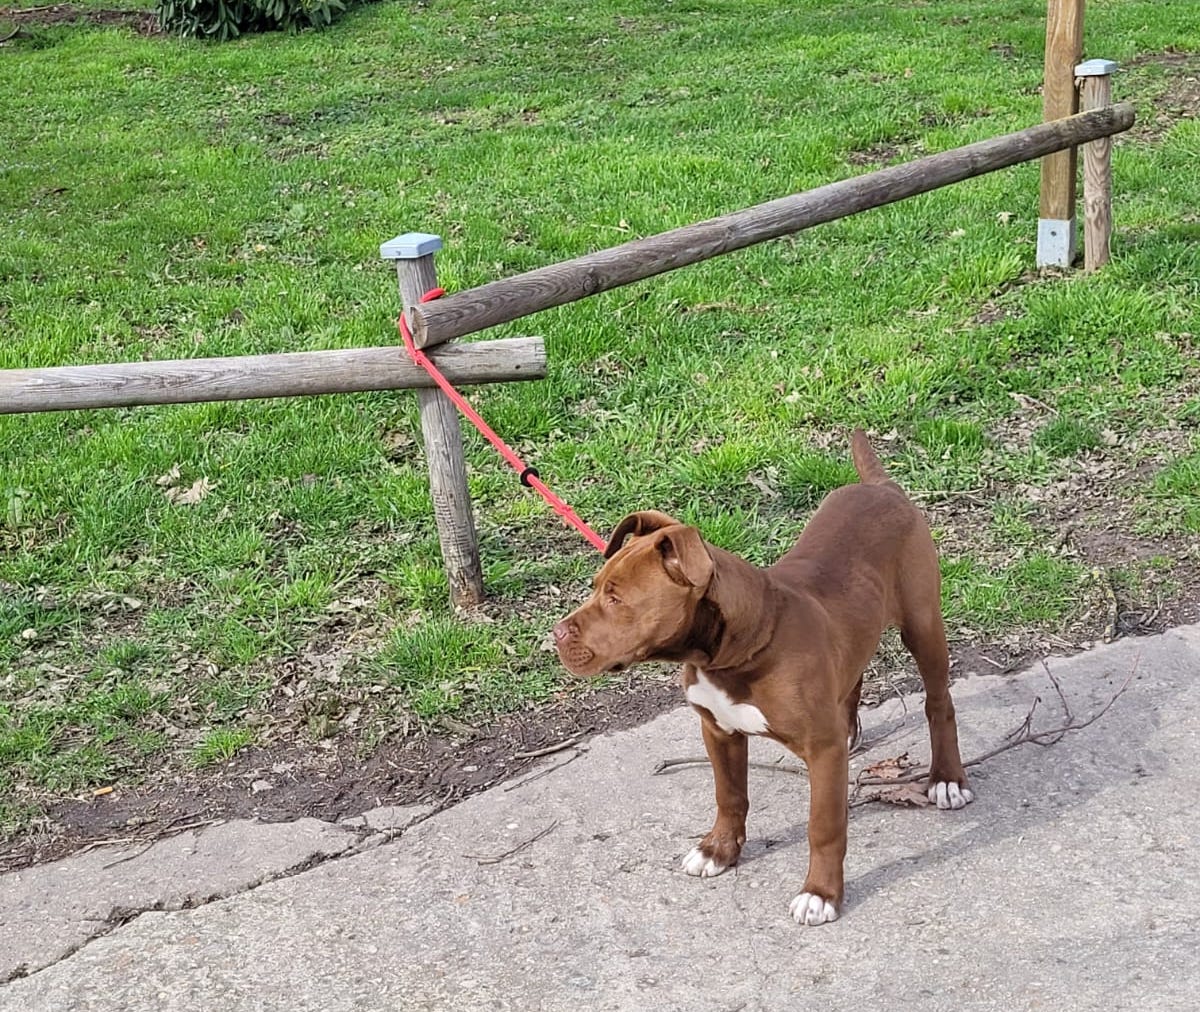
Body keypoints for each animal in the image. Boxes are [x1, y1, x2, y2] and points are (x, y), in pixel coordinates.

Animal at [552, 427, 974, 926]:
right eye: (597, 587)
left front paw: (820, 893)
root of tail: (881, 487)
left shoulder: (821, 750)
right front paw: (718, 850)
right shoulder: (718, 730)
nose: (556, 633)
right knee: (853, 673)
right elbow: (729, 795)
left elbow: (823, 826)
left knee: (938, 702)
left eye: (616, 599)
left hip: (923, 623)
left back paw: (947, 779)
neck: (735, 651)